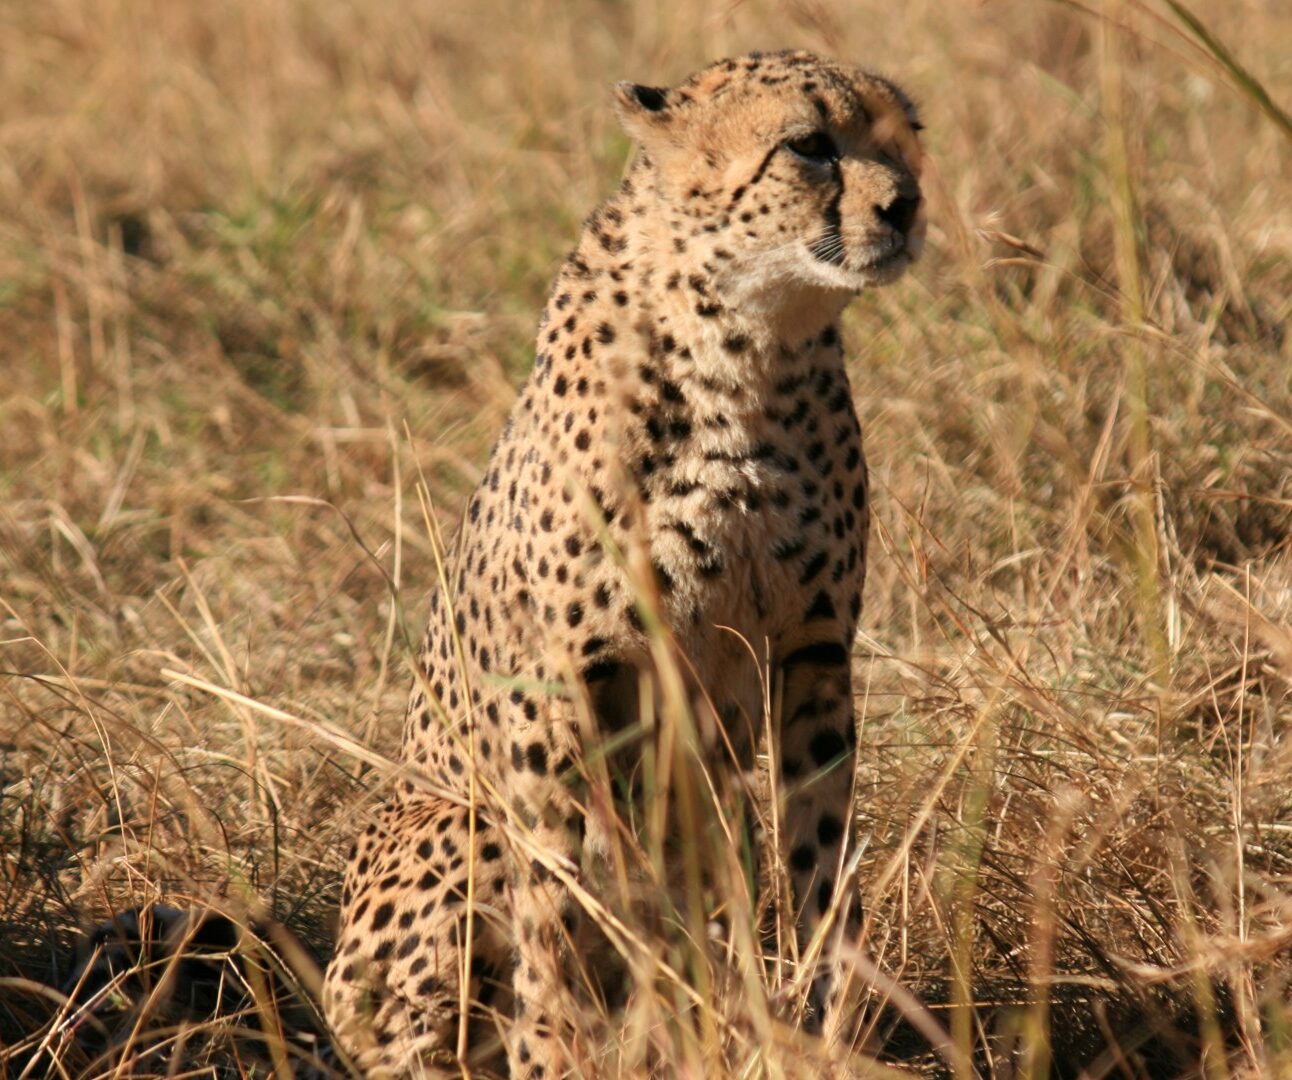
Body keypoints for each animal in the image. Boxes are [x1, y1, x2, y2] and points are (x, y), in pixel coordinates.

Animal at [322, 48, 925, 1078]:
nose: (908, 205)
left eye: (907, 136)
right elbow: (560, 899)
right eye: (810, 145)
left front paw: (824, 1025)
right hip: (452, 826)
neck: (748, 349)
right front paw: (559, 1052)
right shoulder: (561, 678)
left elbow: (821, 853)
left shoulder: (812, 653)